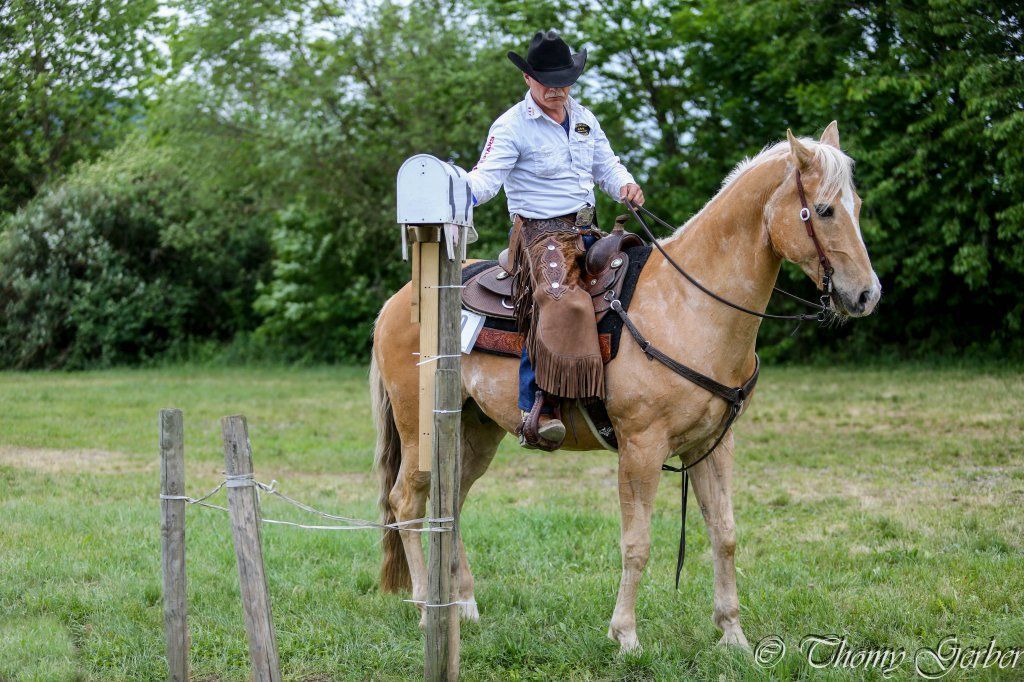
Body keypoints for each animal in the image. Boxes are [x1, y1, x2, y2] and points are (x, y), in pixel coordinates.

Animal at [370, 122, 881, 653]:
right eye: (824, 209)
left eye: (858, 205)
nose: (867, 294)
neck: (688, 304)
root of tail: (399, 302)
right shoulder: (641, 445)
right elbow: (637, 543)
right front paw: (626, 635)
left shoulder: (713, 444)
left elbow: (724, 533)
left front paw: (733, 635)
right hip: (418, 427)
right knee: (406, 501)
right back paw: (426, 608)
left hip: (475, 431)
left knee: (450, 505)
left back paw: (464, 605)